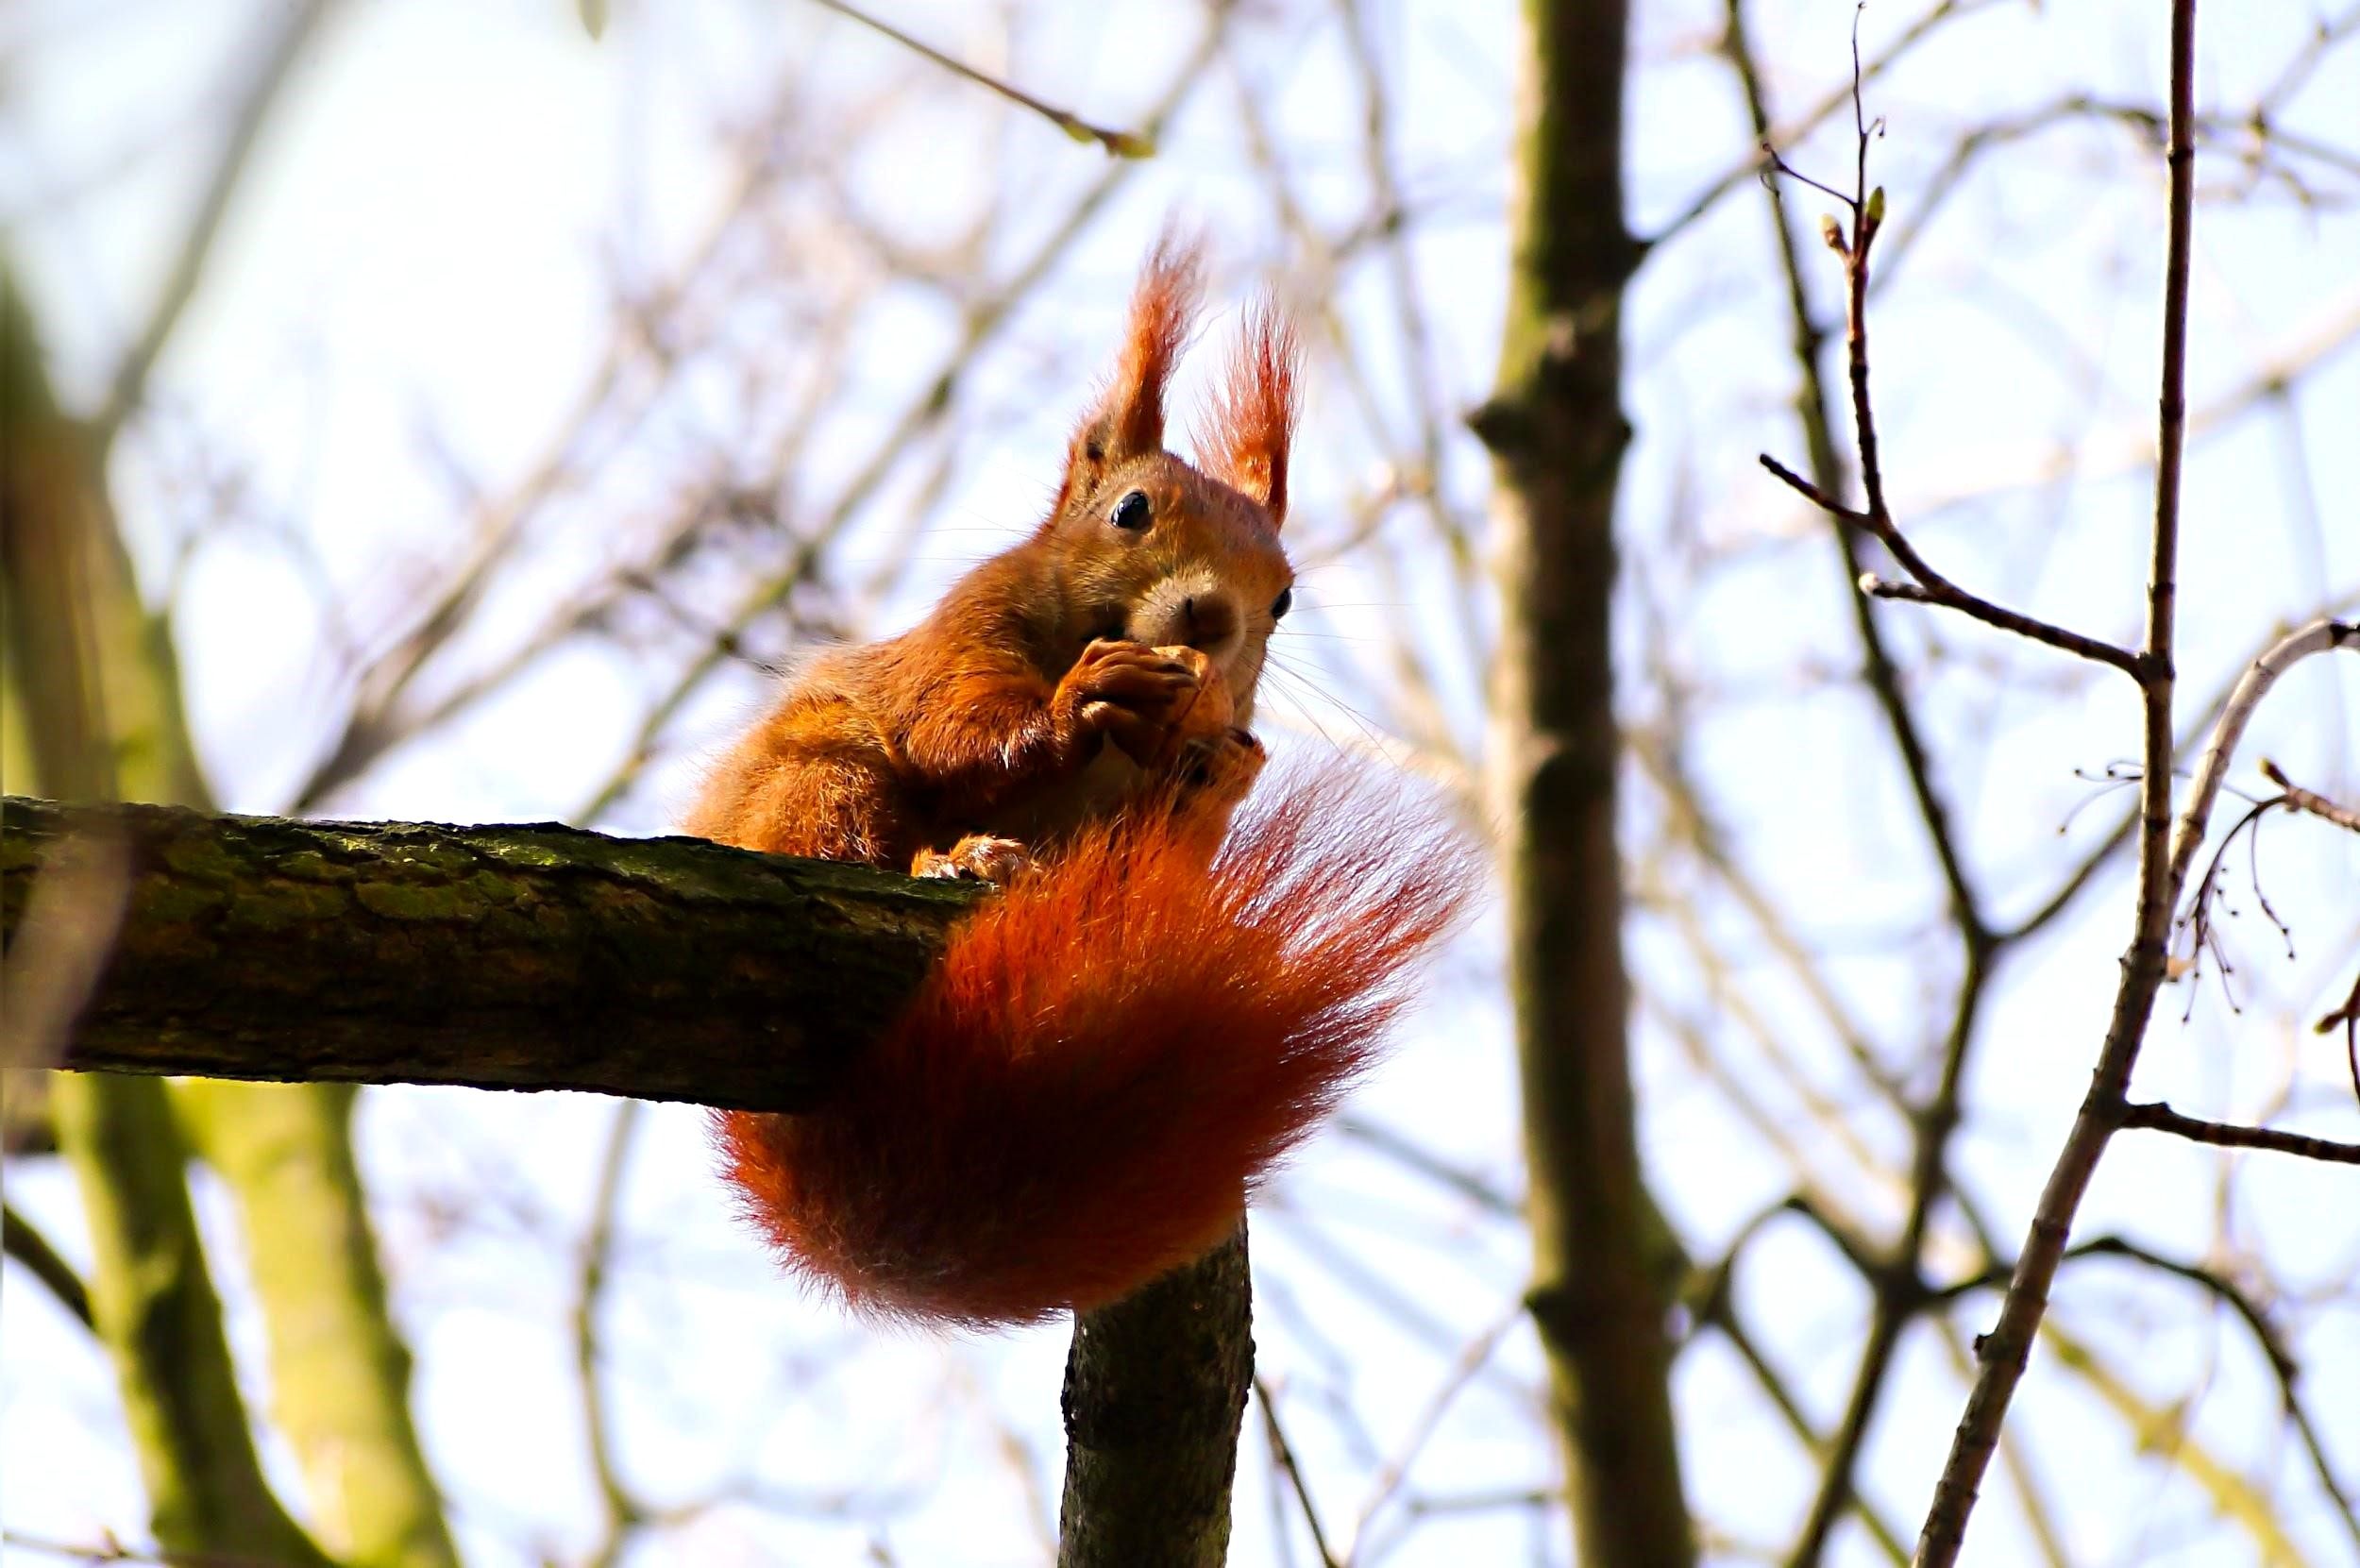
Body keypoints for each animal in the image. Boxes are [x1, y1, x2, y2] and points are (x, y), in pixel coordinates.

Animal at [687, 235, 1471, 1329]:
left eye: (1283, 596)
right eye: (1129, 510)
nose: (1212, 616)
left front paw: (1215, 774)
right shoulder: (961, 635)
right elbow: (955, 727)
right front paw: (1076, 701)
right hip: (817, 777)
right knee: (843, 839)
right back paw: (955, 859)